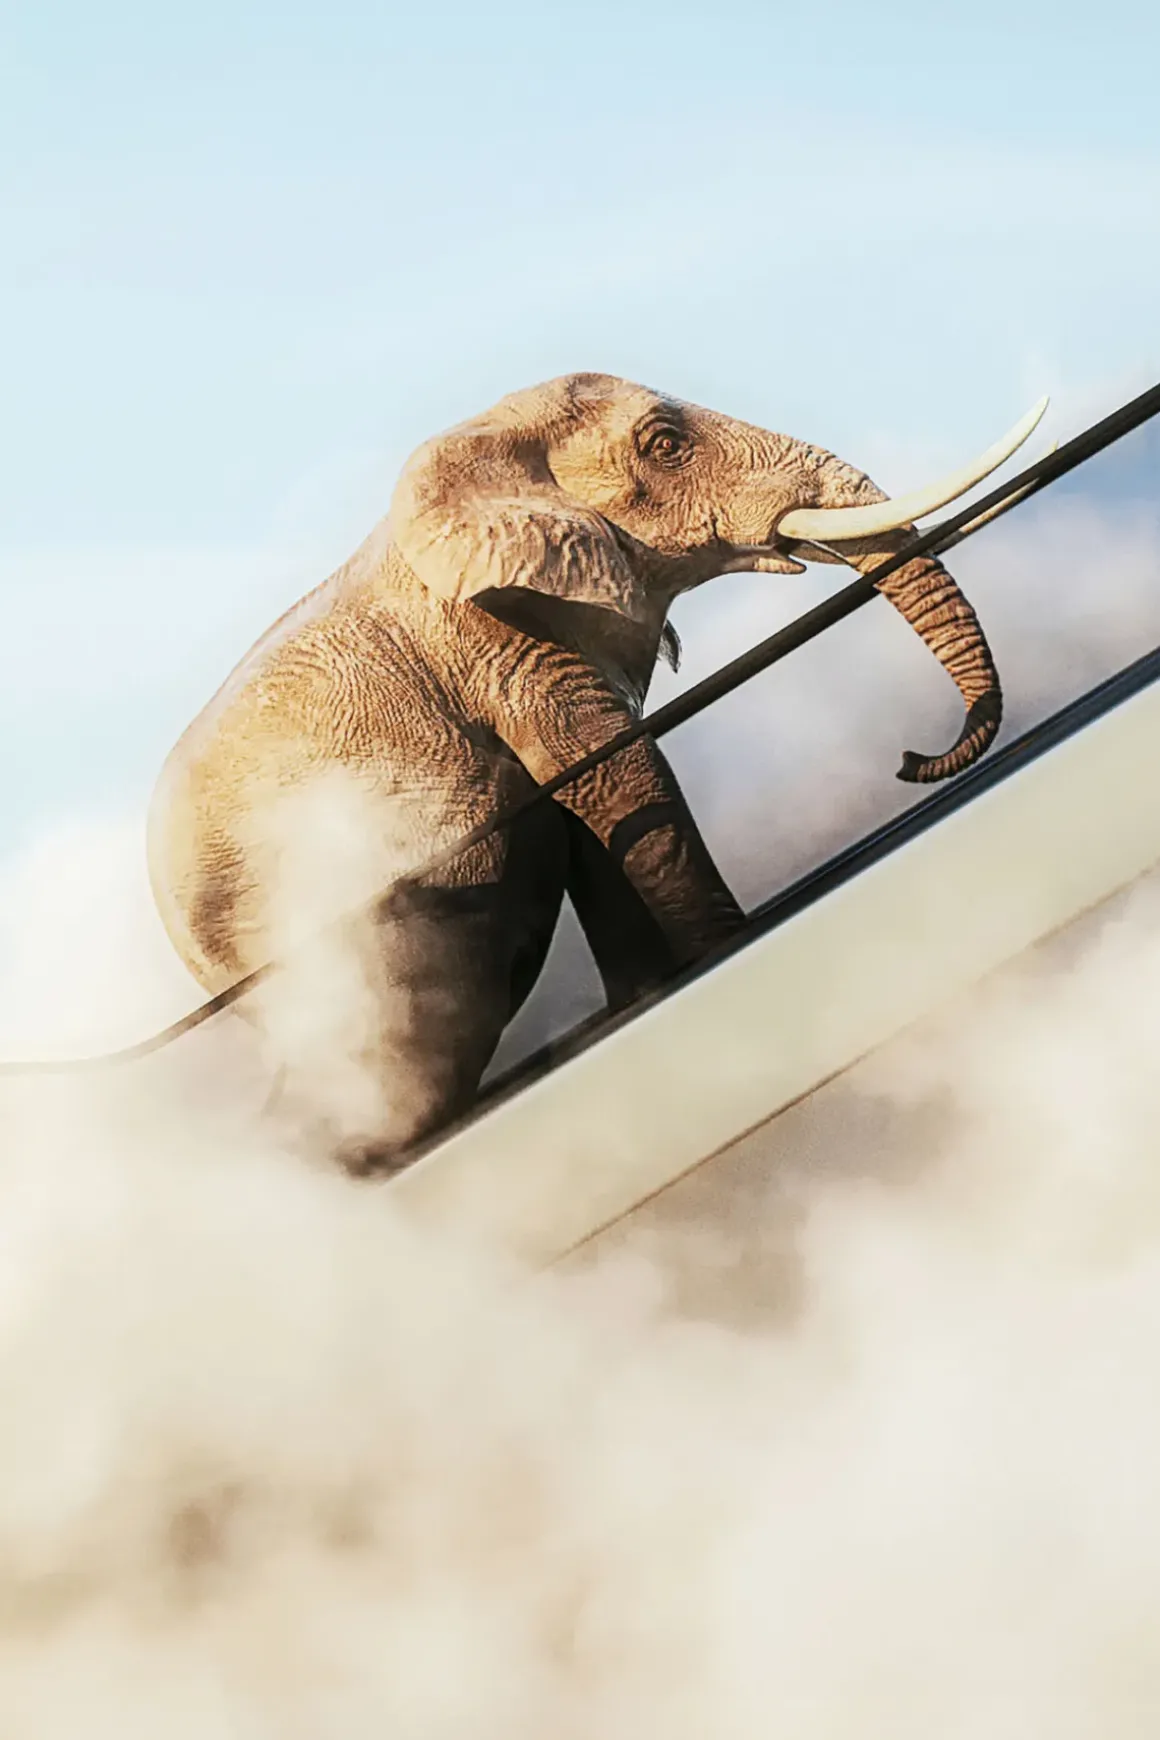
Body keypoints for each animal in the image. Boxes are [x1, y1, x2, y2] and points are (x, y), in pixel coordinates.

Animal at [147, 372, 1042, 1171]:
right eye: (665, 444)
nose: (910, 761)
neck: (484, 444)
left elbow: (597, 814)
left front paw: (651, 995)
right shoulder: (504, 644)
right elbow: (623, 779)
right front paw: (724, 951)